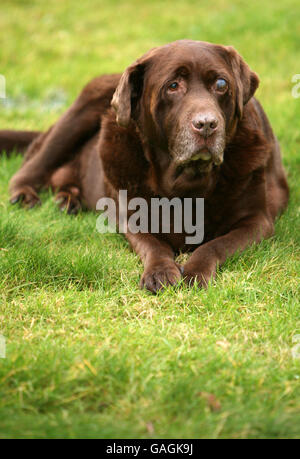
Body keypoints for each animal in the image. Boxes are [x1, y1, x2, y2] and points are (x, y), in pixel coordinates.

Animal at [1, 39, 288, 292]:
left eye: (221, 84)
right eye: (173, 85)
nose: (207, 124)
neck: (187, 184)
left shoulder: (257, 220)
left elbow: (215, 244)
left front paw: (195, 271)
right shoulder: (127, 216)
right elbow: (154, 245)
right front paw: (160, 271)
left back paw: (68, 200)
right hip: (83, 108)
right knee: (31, 167)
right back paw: (26, 195)